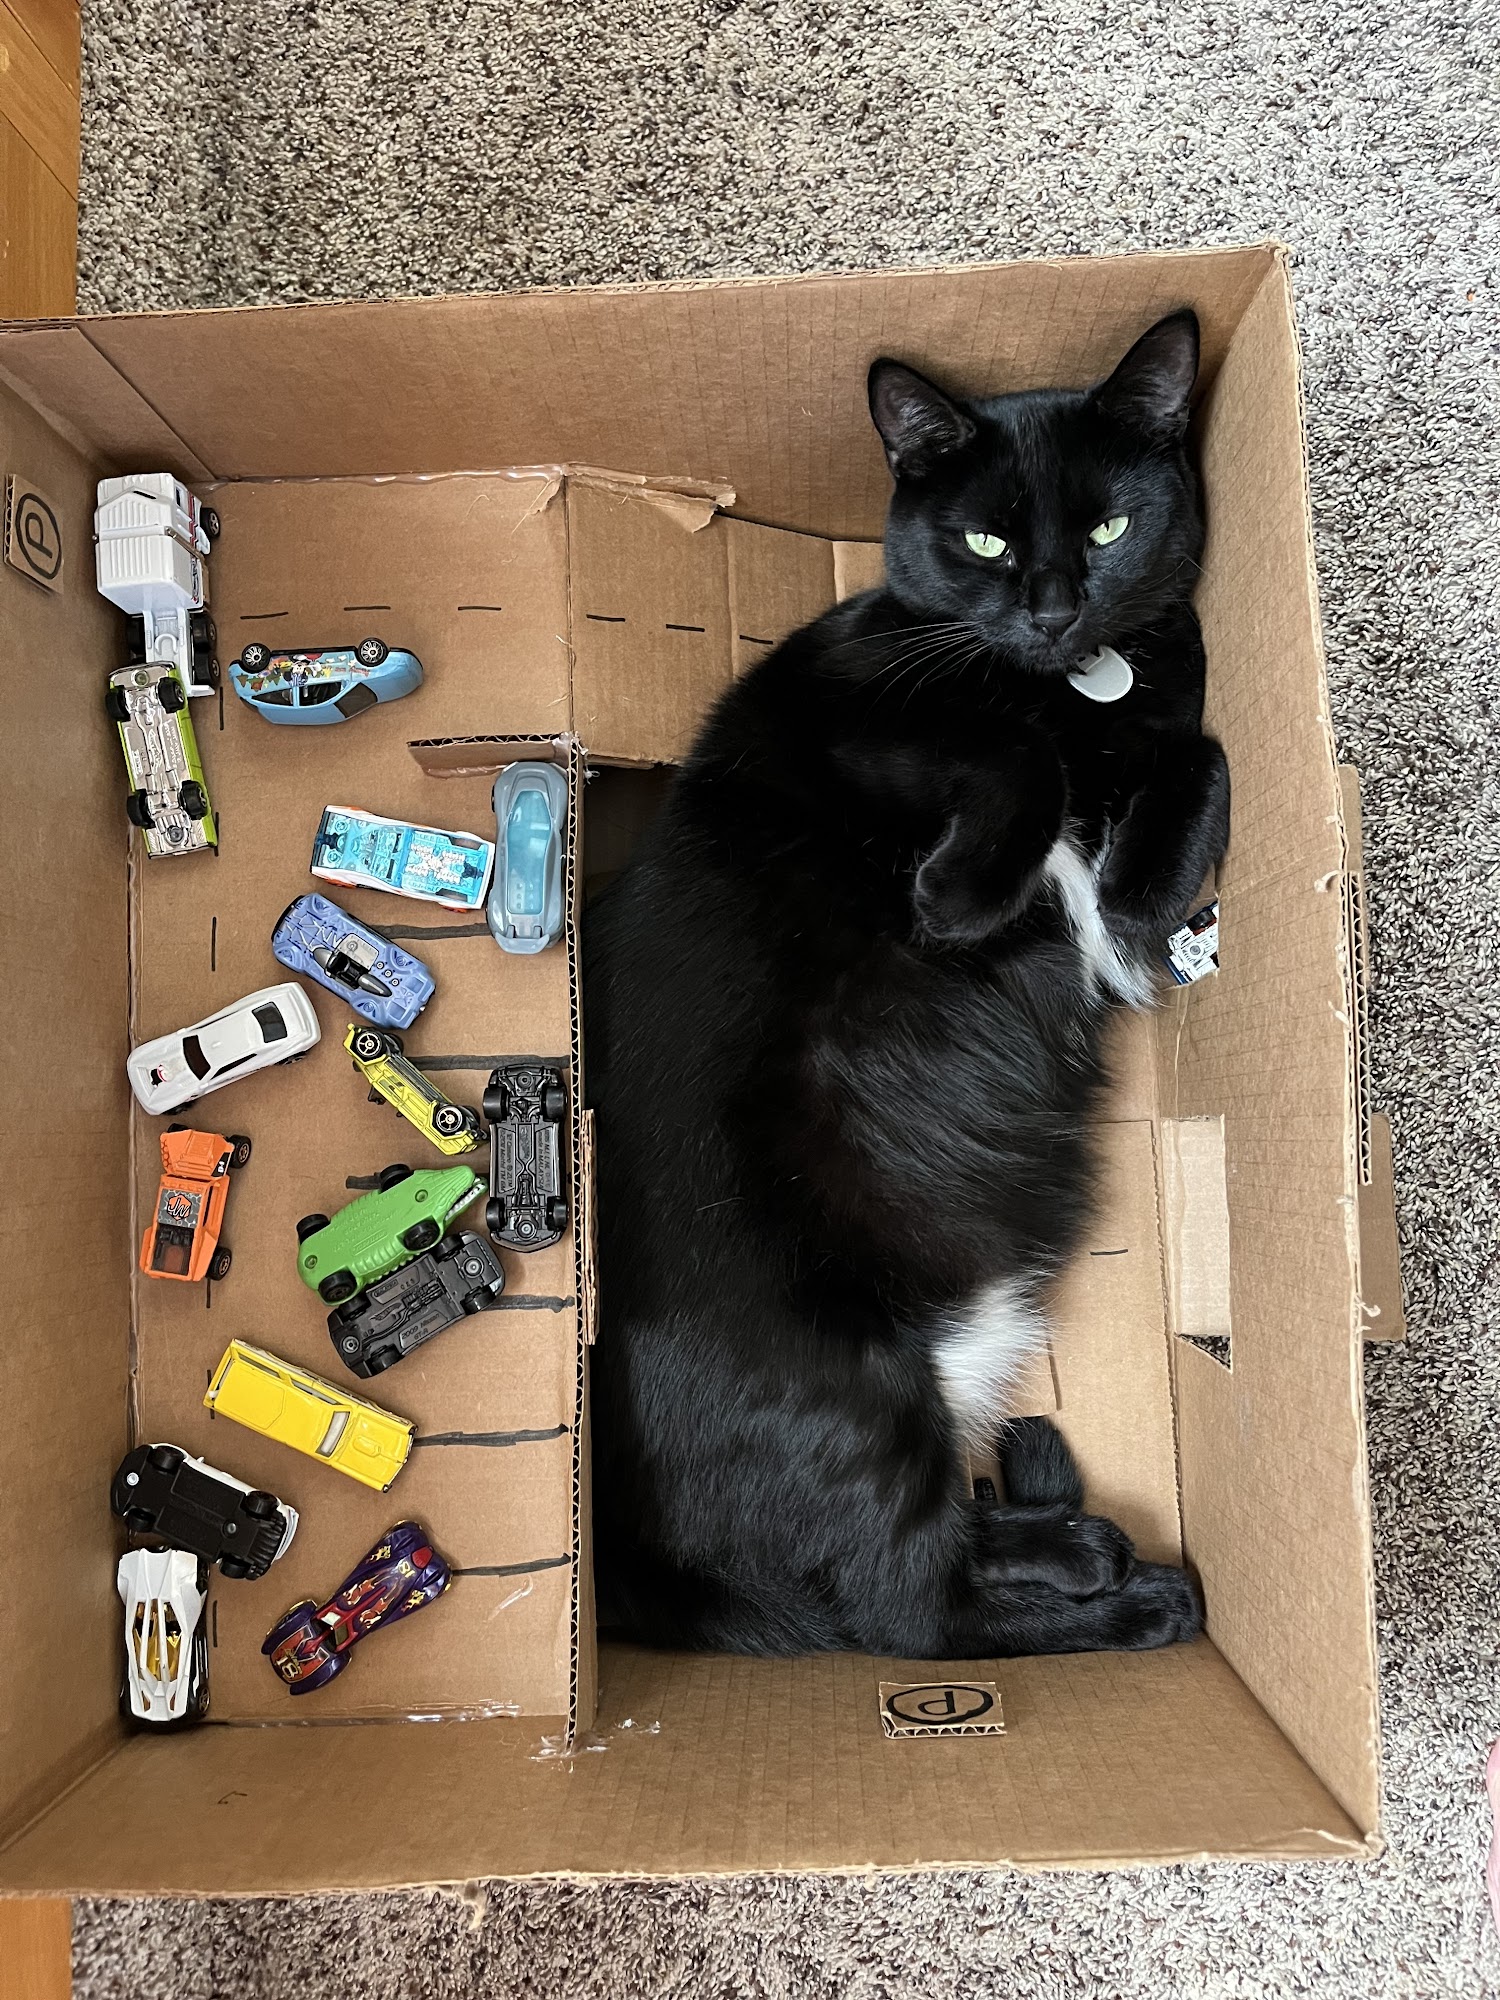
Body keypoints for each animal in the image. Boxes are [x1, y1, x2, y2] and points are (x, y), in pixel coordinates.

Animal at [583, 310, 1230, 1660]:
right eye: (986, 538)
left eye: (1109, 528)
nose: (1053, 609)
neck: (1072, 691)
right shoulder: (831, 707)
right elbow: (1011, 748)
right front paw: (966, 896)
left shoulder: (1166, 708)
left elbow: (1199, 754)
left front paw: (1137, 891)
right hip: (850, 1385)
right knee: (910, 1613)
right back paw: (1140, 1589)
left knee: (922, 1583)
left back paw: (1075, 1537)